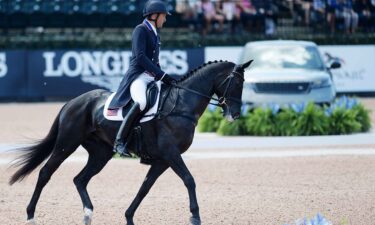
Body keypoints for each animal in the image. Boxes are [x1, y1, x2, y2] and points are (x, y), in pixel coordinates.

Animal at [9, 59, 253, 225]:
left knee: (80, 179)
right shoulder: (171, 154)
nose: (235, 114)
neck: (182, 104)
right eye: (236, 83)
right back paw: (30, 216)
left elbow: (144, 188)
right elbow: (189, 180)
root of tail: (72, 102)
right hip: (66, 144)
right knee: (45, 173)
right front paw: (195, 216)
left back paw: (88, 214)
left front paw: (128, 217)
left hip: (101, 153)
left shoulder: (162, 160)